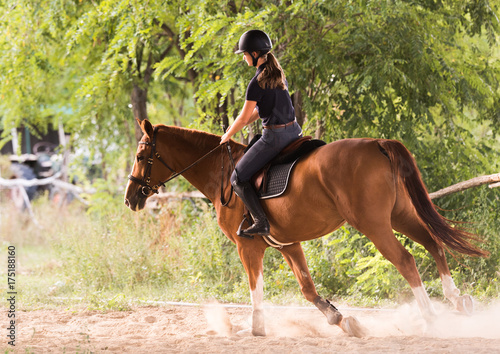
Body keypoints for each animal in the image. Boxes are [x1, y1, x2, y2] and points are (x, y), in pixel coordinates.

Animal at [126, 119, 488, 338]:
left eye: (142, 155)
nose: (131, 198)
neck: (222, 176)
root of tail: (376, 143)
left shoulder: (248, 246)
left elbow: (256, 288)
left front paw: (256, 328)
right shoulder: (288, 244)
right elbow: (307, 288)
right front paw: (340, 319)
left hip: (373, 225)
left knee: (406, 260)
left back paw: (430, 316)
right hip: (399, 216)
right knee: (433, 243)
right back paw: (456, 300)